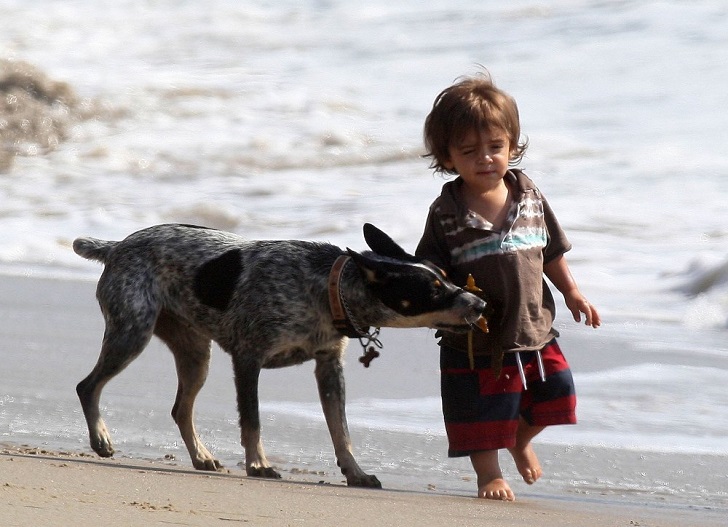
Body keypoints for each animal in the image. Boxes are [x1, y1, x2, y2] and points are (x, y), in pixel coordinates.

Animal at [74, 222, 486, 486]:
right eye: (432, 290)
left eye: (446, 276)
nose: (481, 303)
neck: (326, 288)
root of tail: (115, 247)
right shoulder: (248, 358)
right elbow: (253, 421)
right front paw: (258, 464)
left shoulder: (329, 367)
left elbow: (342, 431)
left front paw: (354, 472)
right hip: (132, 333)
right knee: (87, 386)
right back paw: (101, 438)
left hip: (195, 354)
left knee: (180, 409)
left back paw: (201, 456)